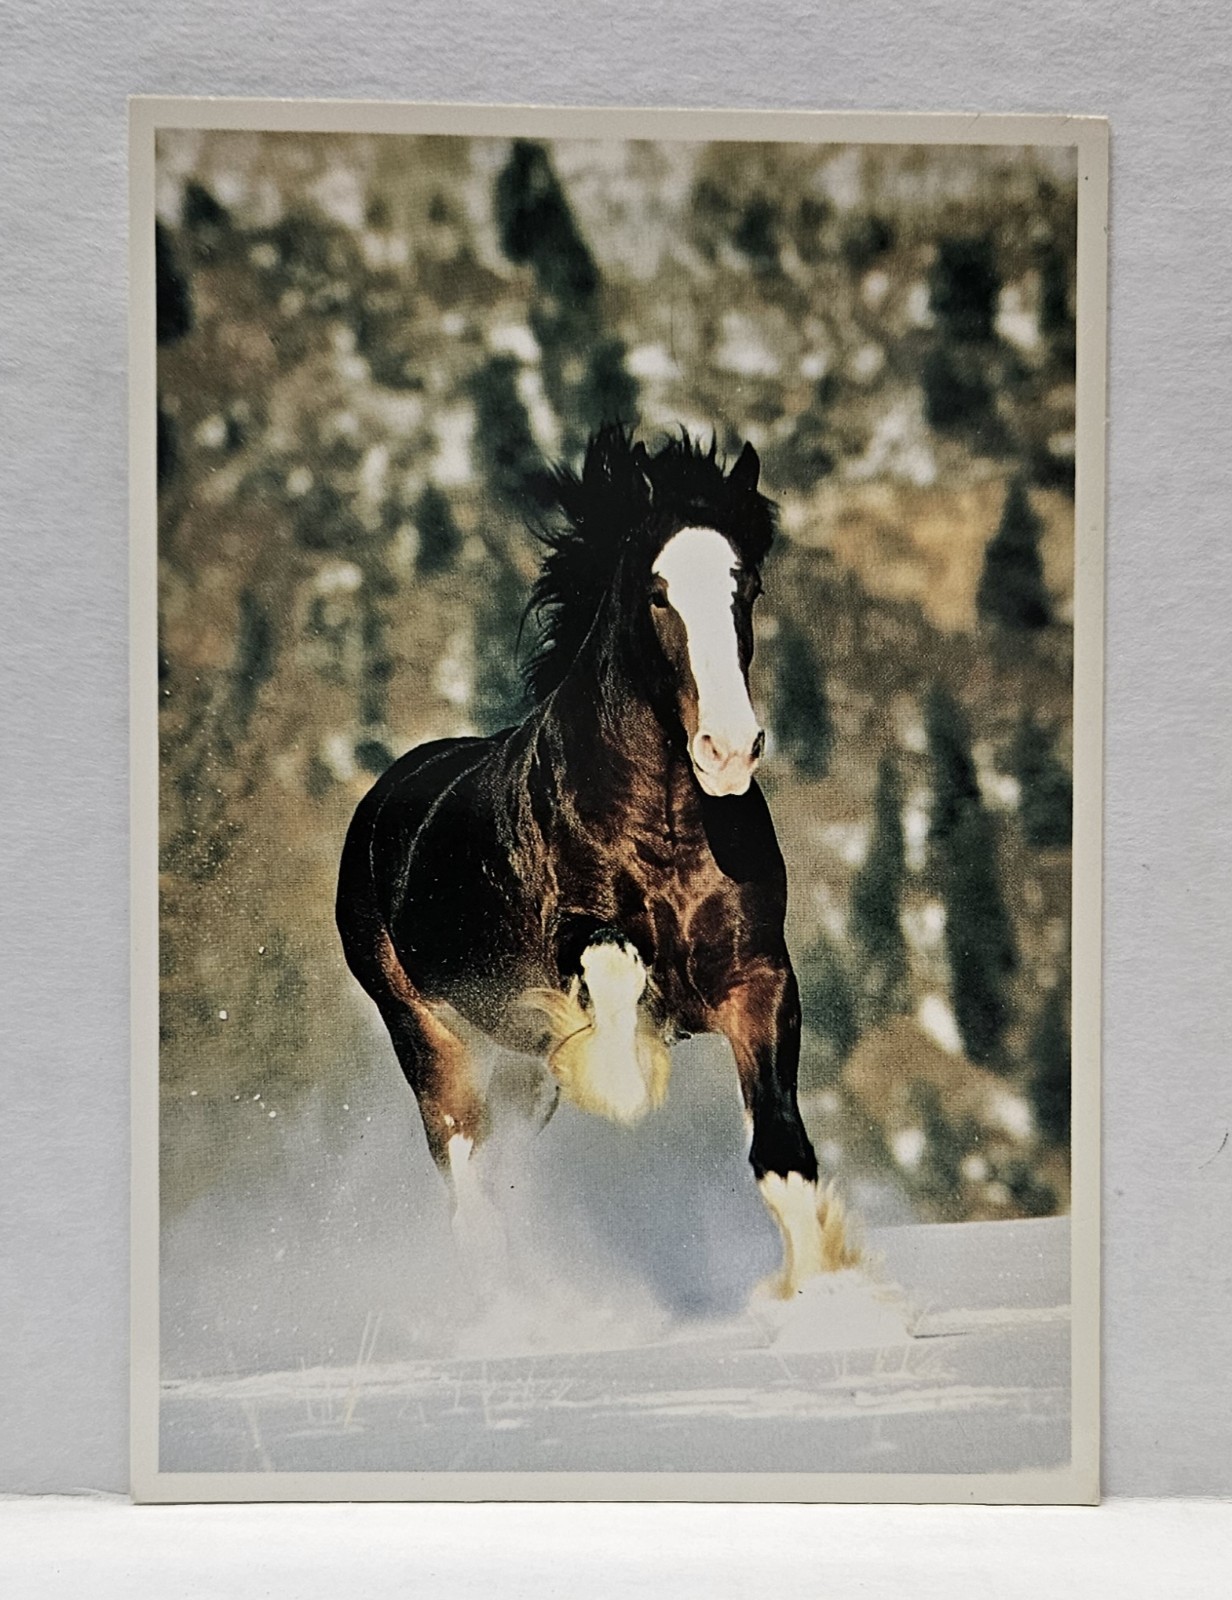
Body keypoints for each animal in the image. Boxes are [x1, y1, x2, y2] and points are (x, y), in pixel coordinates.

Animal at [336, 427, 857, 1297]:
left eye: (744, 586)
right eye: (656, 593)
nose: (728, 750)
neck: (668, 828)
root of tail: (385, 795)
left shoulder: (757, 978)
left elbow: (783, 1156)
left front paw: (829, 1300)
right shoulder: (573, 942)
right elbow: (615, 967)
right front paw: (624, 1081)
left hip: (511, 1059)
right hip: (429, 1036)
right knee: (468, 1186)